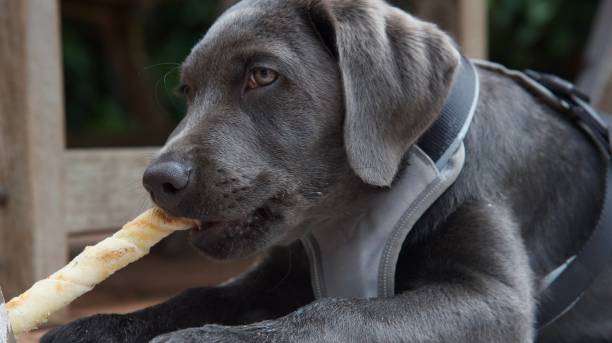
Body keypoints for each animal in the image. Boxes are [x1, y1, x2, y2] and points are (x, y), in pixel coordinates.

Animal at [40, 0, 608, 343]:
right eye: (187, 91)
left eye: (262, 75)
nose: (157, 180)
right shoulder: (274, 276)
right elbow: (199, 294)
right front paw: (101, 325)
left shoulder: (493, 298)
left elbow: (341, 313)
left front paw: (209, 339)